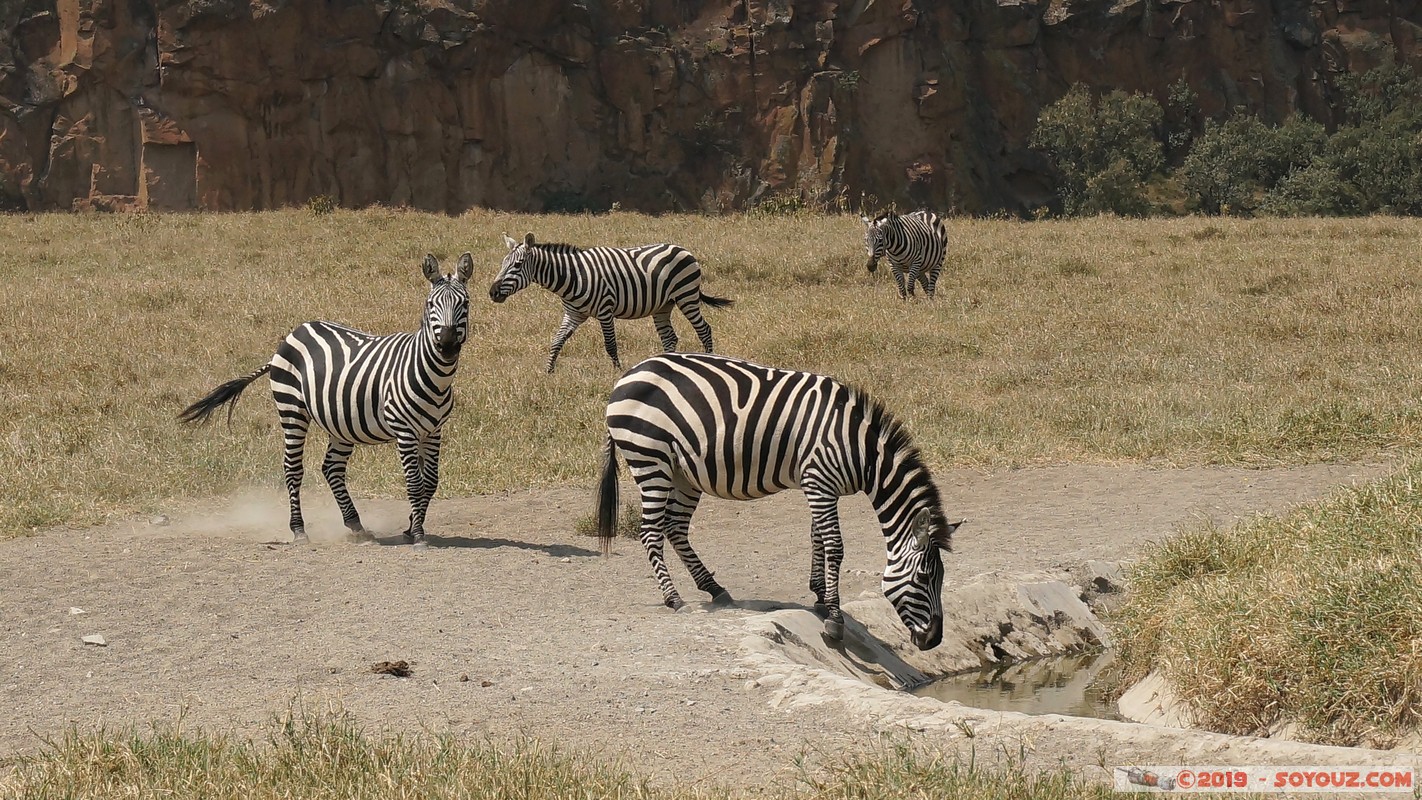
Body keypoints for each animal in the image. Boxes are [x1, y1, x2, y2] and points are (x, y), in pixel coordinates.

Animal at [179, 252, 472, 548]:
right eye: (431, 304)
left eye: (465, 303)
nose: (447, 345)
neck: (434, 377)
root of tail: (296, 331)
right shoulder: (405, 431)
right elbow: (414, 483)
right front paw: (419, 535)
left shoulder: (433, 431)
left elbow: (430, 482)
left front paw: (412, 528)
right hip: (292, 409)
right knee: (293, 468)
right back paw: (299, 530)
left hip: (341, 422)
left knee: (332, 467)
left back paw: (355, 524)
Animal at [489, 233, 733, 375]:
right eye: (502, 263)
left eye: (517, 264)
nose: (492, 293)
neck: (573, 277)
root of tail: (683, 249)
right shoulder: (573, 315)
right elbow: (556, 341)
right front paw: (548, 371)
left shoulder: (605, 311)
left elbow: (610, 344)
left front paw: (617, 372)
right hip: (663, 306)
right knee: (669, 337)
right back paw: (666, 364)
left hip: (686, 295)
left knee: (704, 329)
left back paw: (709, 358)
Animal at [594, 353, 961, 647]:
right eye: (924, 578)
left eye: (941, 578)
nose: (934, 640)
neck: (862, 452)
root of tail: (627, 375)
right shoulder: (819, 481)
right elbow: (834, 545)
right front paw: (834, 619)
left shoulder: (820, 486)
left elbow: (817, 538)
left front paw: (820, 594)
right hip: (649, 459)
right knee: (651, 531)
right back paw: (674, 598)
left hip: (683, 472)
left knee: (675, 527)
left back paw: (714, 589)